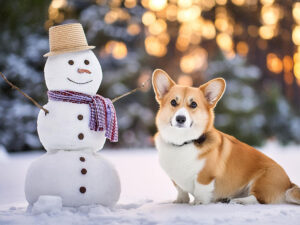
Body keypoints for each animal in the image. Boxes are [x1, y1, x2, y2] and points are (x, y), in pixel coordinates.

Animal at [152, 69, 300, 205]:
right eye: (173, 102)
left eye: (193, 104)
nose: (180, 119)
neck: (183, 142)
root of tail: (289, 183)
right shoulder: (176, 180)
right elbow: (181, 191)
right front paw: (179, 202)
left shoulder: (205, 177)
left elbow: (200, 193)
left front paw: (197, 204)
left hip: (262, 181)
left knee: (257, 199)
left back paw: (239, 200)